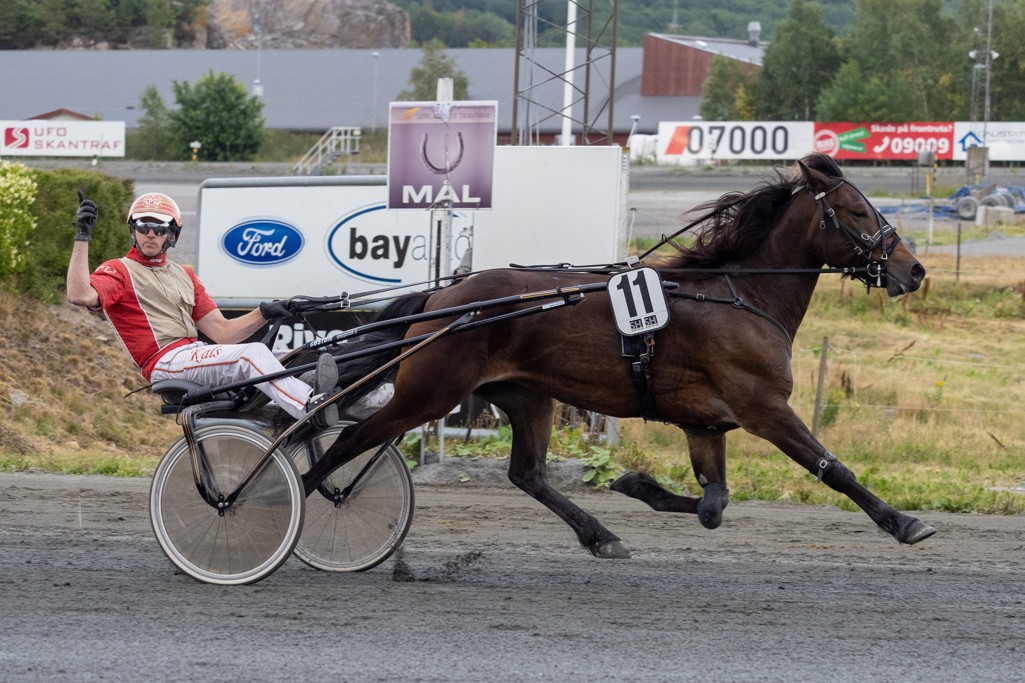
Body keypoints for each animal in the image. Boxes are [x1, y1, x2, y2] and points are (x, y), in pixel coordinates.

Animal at [303, 151, 938, 557]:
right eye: (858, 212)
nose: (914, 270)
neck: (743, 295)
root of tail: (446, 294)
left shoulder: (706, 422)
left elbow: (714, 504)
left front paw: (638, 486)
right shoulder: (764, 407)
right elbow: (832, 467)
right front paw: (904, 522)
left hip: (525, 396)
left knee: (527, 474)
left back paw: (600, 535)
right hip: (430, 389)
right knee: (350, 441)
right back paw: (293, 498)